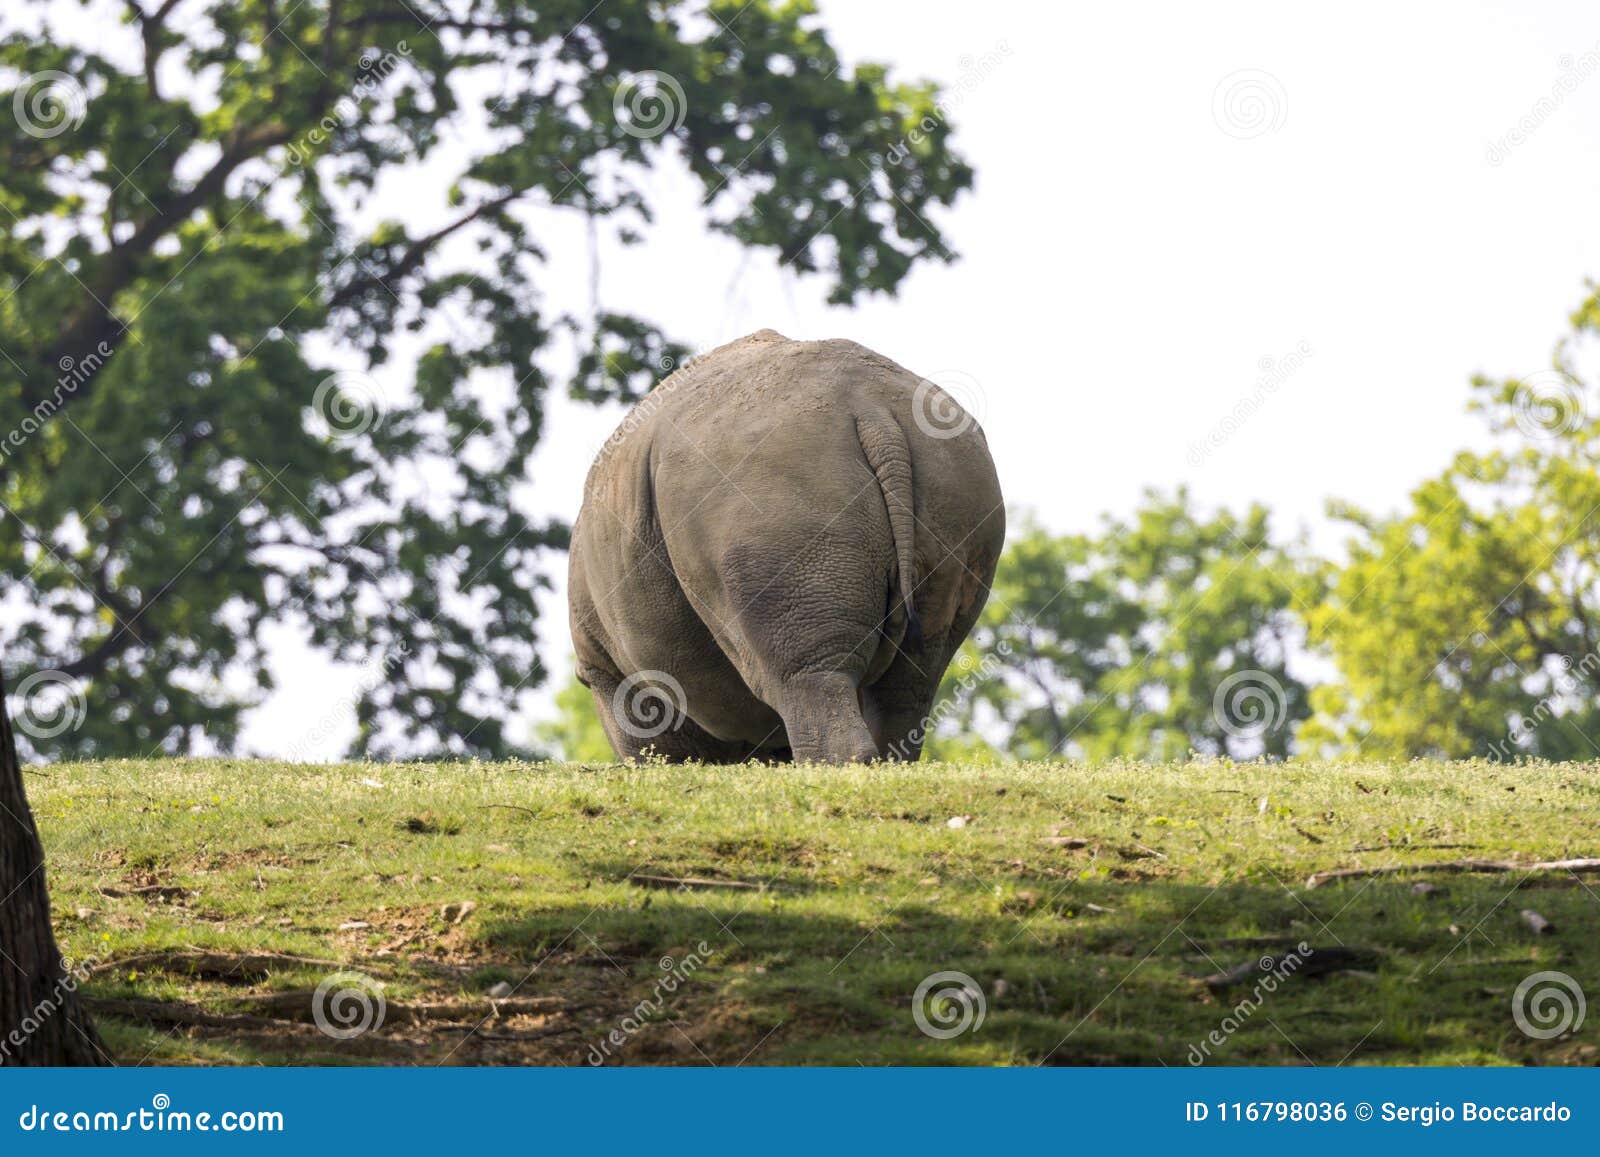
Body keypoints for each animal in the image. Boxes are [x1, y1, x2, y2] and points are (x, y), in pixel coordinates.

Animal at [569, 329, 1004, 764]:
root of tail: (875, 412)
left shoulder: (605, 669)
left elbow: (650, 742)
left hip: (769, 483)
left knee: (804, 674)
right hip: (956, 471)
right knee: (912, 681)